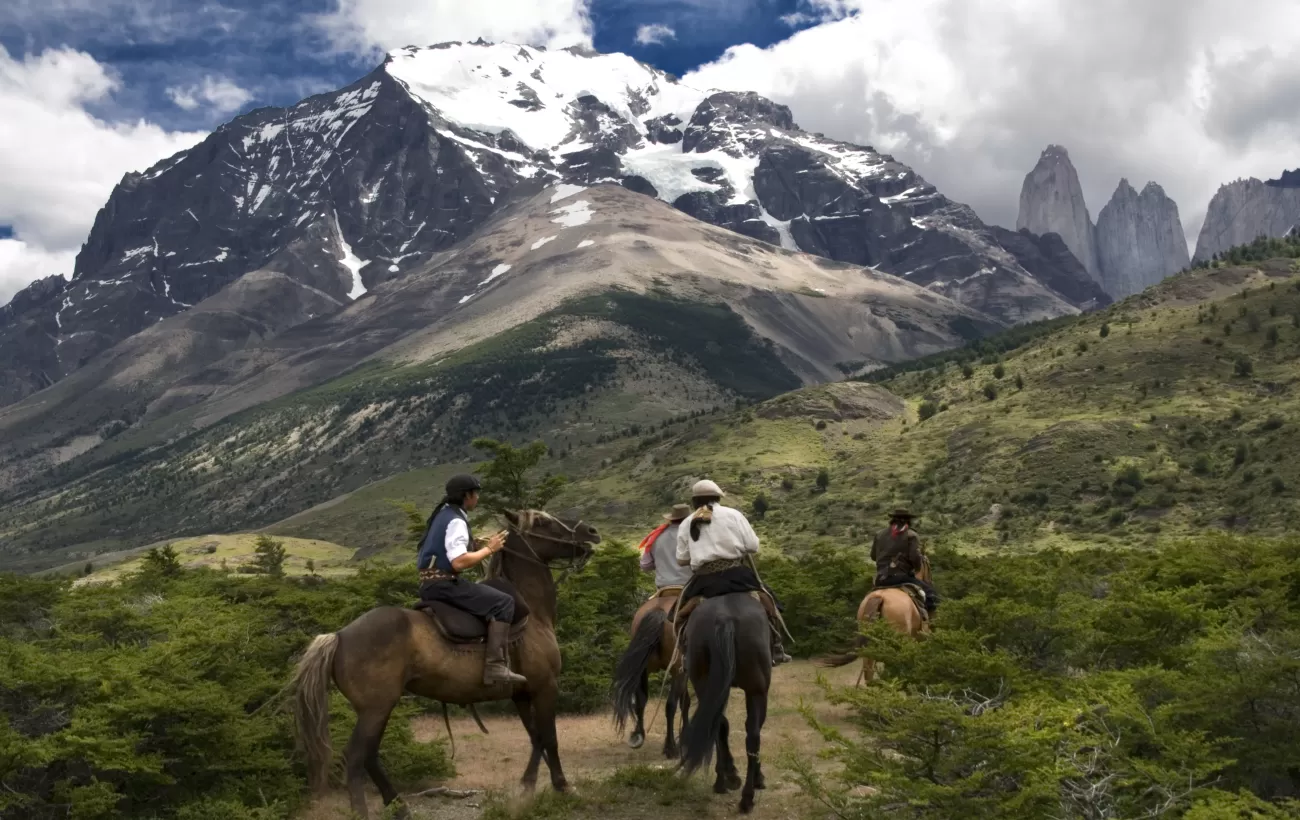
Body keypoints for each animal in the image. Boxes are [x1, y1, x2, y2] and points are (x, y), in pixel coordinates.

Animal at [611, 589, 691, 758]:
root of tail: (658, 611)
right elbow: (684, 702)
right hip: (676, 670)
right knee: (670, 705)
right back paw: (670, 748)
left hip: (643, 670)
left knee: (641, 700)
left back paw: (638, 736)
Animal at [676, 589, 764, 816]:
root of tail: (725, 618)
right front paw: (758, 778)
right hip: (757, 689)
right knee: (752, 733)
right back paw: (744, 794)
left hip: (704, 681)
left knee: (719, 723)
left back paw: (728, 781)